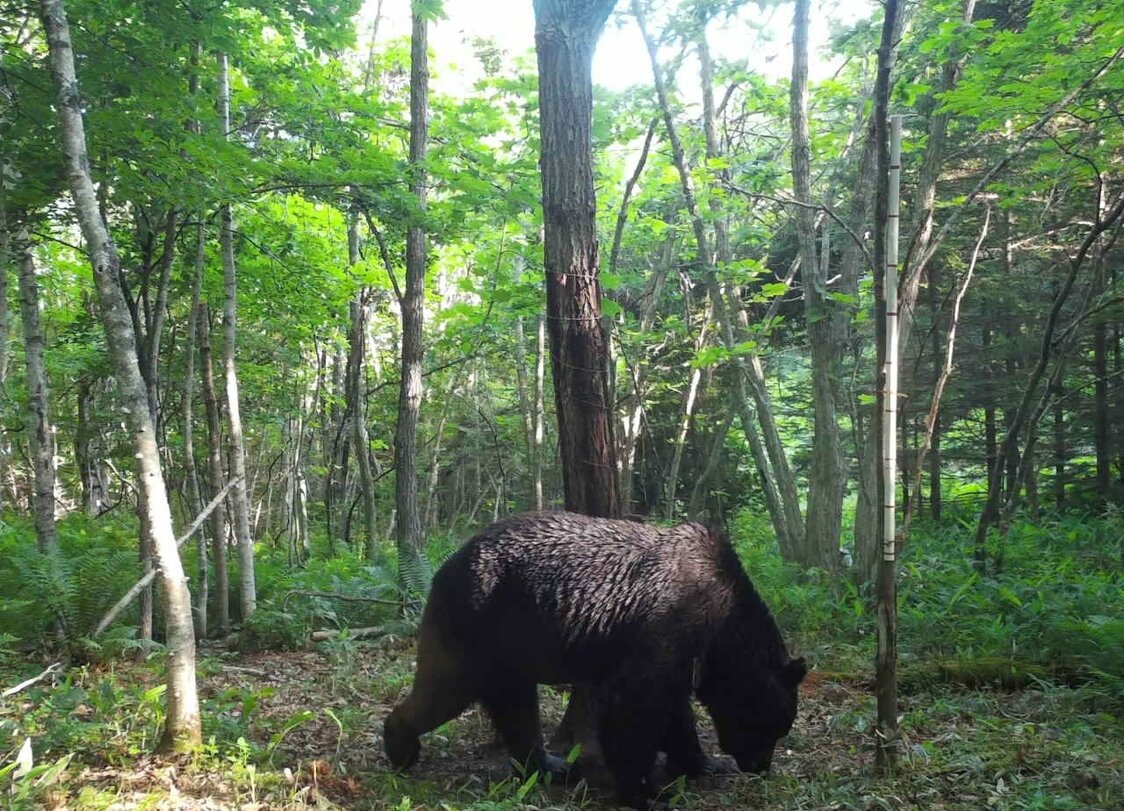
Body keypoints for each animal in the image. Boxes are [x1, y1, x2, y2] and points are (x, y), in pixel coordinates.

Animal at [383, 511, 806, 809]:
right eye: (773, 728)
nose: (760, 766)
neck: (722, 626)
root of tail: (446, 563)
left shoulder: (680, 656)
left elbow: (673, 711)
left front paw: (702, 763)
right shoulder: (666, 626)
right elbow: (635, 708)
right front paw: (644, 792)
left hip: (511, 645)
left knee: (515, 707)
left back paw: (550, 765)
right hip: (478, 620)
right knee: (445, 689)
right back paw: (400, 746)